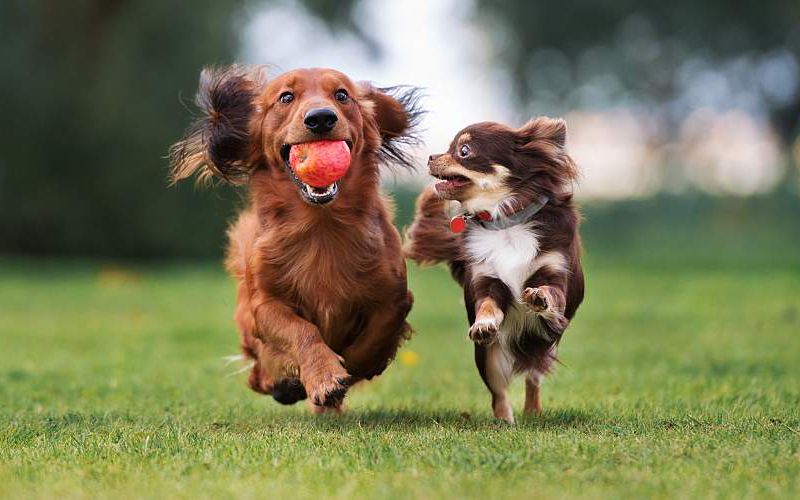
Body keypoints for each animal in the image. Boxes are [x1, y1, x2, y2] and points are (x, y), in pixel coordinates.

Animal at [167, 65, 418, 410]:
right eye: (286, 97)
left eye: (342, 94)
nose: (321, 118)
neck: (321, 226)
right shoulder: (265, 305)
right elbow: (302, 330)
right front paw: (323, 375)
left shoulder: (394, 297)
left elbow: (374, 337)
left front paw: (351, 369)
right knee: (257, 374)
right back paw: (284, 383)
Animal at [406, 117, 588, 422]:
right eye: (449, 148)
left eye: (464, 151)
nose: (431, 157)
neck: (505, 222)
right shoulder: (486, 279)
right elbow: (488, 305)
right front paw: (484, 324)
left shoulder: (555, 273)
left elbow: (551, 292)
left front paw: (539, 296)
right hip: (488, 357)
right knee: (499, 393)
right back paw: (504, 422)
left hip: (542, 346)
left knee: (533, 378)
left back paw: (532, 412)